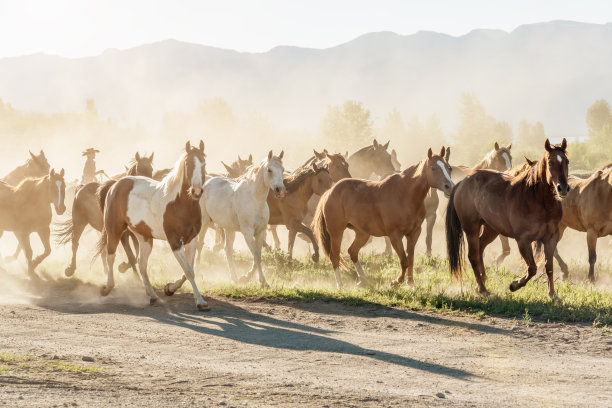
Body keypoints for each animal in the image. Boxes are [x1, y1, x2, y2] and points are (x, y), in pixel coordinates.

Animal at [95, 140, 209, 310]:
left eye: (203, 163)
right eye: (188, 163)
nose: (196, 191)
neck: (179, 204)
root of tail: (116, 184)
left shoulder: (192, 239)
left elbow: (188, 269)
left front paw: (169, 288)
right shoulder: (174, 241)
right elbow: (188, 271)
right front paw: (200, 301)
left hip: (144, 238)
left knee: (141, 263)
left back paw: (153, 295)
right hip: (114, 230)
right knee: (111, 256)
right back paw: (107, 288)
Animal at [200, 151, 288, 286]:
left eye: (282, 169)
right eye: (269, 170)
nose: (280, 190)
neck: (255, 200)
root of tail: (207, 180)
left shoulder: (260, 232)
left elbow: (258, 255)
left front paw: (246, 278)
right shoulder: (247, 232)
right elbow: (256, 255)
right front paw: (262, 282)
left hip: (229, 229)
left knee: (228, 250)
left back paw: (234, 278)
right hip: (204, 222)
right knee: (199, 244)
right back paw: (196, 269)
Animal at [314, 147, 452, 286]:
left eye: (449, 167)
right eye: (433, 168)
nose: (449, 186)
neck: (404, 195)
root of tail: (329, 192)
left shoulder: (414, 233)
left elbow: (410, 259)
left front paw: (410, 283)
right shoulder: (394, 235)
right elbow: (404, 260)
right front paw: (397, 281)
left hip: (362, 233)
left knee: (352, 251)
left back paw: (362, 280)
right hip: (336, 232)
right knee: (335, 256)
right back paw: (340, 285)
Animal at [444, 139, 568, 300]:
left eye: (567, 161)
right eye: (551, 162)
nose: (563, 188)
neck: (538, 200)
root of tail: (462, 182)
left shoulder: (551, 238)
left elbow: (549, 266)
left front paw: (552, 294)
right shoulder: (523, 240)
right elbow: (532, 268)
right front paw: (515, 285)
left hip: (491, 229)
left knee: (480, 248)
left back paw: (481, 283)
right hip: (471, 229)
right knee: (473, 255)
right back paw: (483, 289)